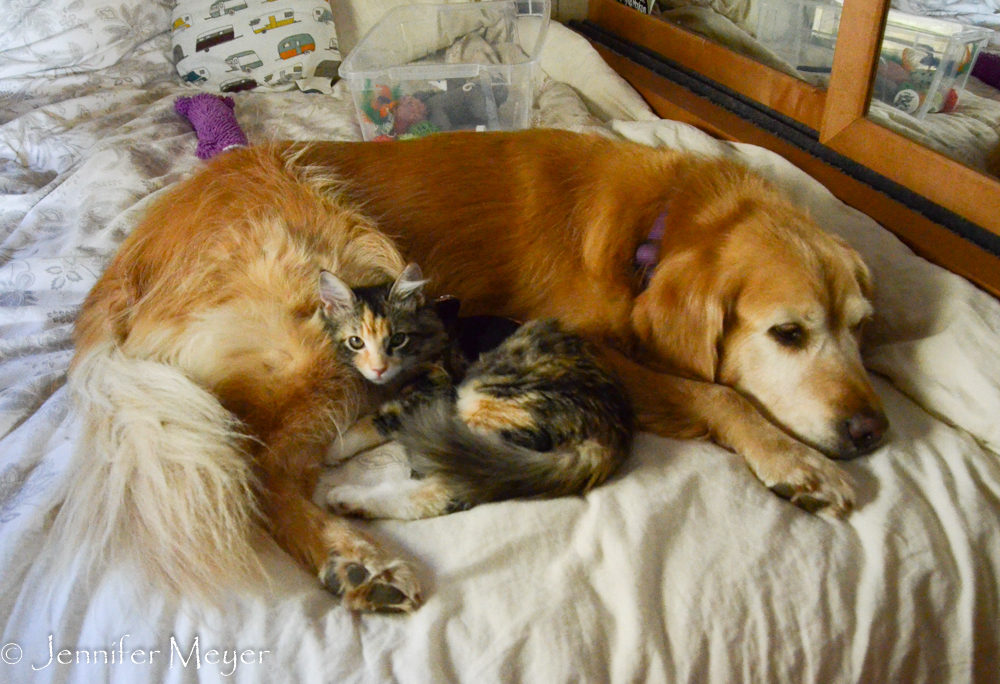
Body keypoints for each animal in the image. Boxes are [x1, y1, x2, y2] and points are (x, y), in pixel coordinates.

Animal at [320, 264, 632, 520]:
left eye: (398, 339)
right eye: (356, 342)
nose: (378, 368)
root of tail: (610, 435)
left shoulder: (433, 389)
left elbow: (374, 420)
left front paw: (333, 447)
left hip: (484, 399)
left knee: (446, 490)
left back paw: (349, 499)